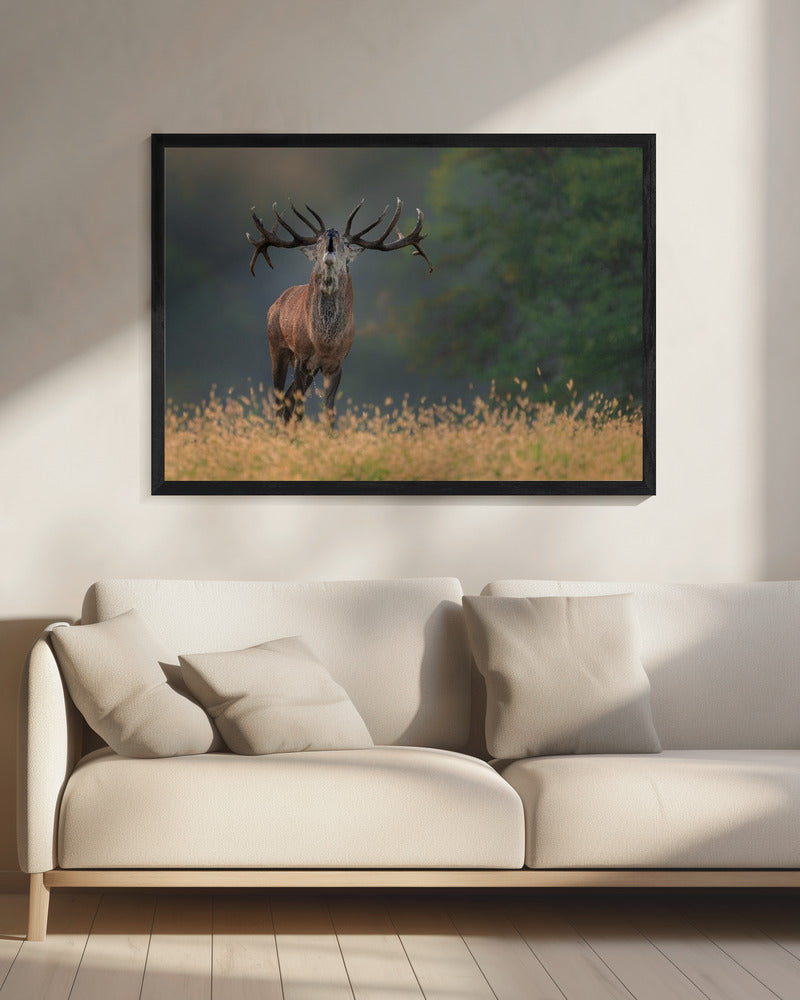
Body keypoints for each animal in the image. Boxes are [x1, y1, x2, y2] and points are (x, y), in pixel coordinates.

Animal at [246, 197, 432, 427]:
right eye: (318, 241)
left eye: (348, 244)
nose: (331, 232)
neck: (324, 342)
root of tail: (276, 303)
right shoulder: (302, 357)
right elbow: (299, 409)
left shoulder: (336, 363)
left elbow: (329, 413)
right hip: (277, 345)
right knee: (280, 401)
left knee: (288, 400)